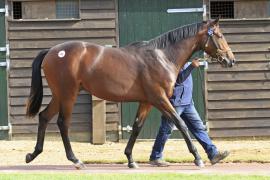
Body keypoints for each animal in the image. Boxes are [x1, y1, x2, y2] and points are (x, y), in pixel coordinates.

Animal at [26, 19, 235, 169]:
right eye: (220, 35)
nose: (231, 60)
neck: (162, 56)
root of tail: (53, 51)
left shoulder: (146, 101)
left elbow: (136, 127)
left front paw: (130, 159)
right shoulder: (159, 98)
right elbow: (181, 123)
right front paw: (198, 158)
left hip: (60, 95)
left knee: (44, 116)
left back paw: (33, 154)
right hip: (68, 95)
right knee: (63, 123)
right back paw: (75, 160)